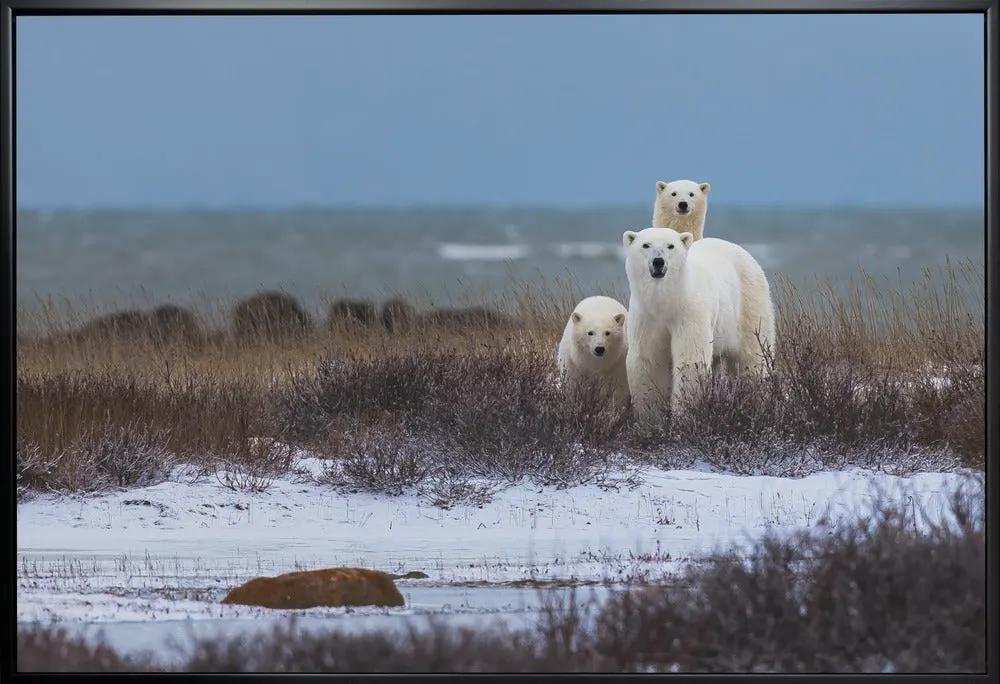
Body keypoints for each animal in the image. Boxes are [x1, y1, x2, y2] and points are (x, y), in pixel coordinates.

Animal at [623, 227, 775, 416]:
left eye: (671, 246)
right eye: (646, 245)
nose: (658, 261)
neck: (668, 299)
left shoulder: (689, 312)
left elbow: (690, 359)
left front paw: (683, 412)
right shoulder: (646, 316)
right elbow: (648, 360)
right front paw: (650, 415)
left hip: (748, 303)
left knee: (751, 357)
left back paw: (757, 400)